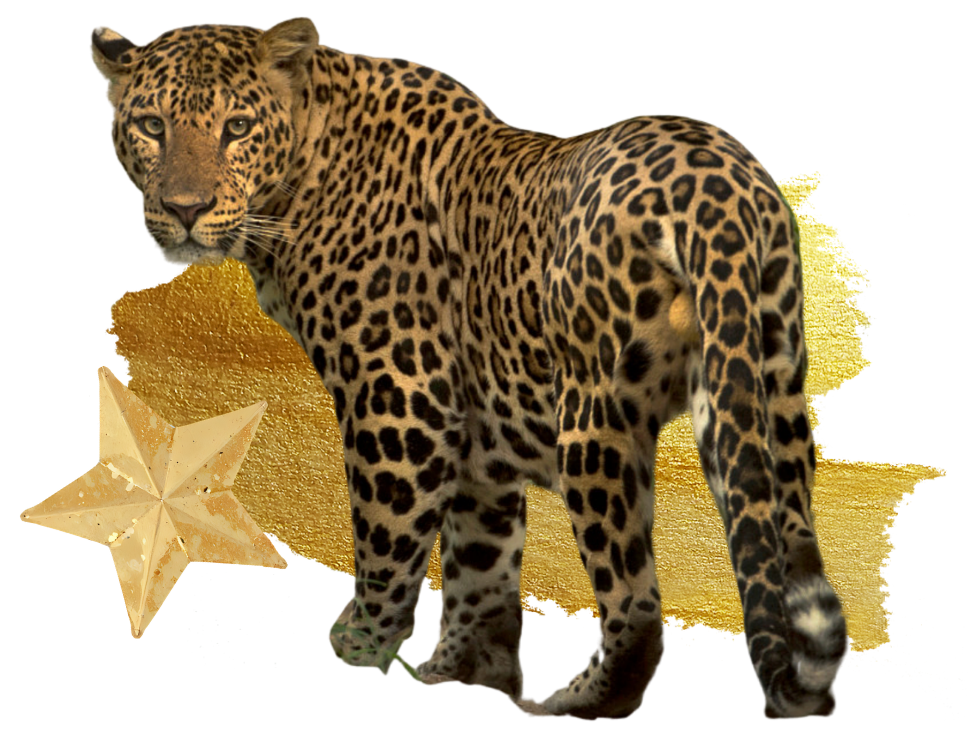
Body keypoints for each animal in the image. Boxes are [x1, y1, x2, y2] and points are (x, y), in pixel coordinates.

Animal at [91, 17, 850, 721]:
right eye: (153, 127)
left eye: (238, 127)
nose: (185, 208)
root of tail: (718, 182)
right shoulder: (480, 439)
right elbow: (480, 561)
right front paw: (462, 667)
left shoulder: (400, 397)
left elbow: (386, 534)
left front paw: (362, 641)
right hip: (765, 383)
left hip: (596, 414)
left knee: (633, 595)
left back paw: (577, 700)